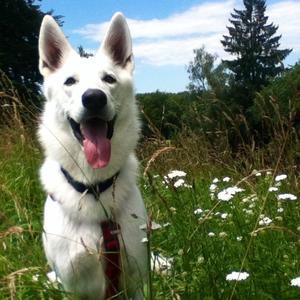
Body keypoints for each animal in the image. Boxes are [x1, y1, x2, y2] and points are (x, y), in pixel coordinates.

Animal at [38, 12, 148, 300]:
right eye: (70, 81)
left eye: (109, 79)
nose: (94, 98)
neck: (95, 187)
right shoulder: (72, 286)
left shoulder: (137, 279)